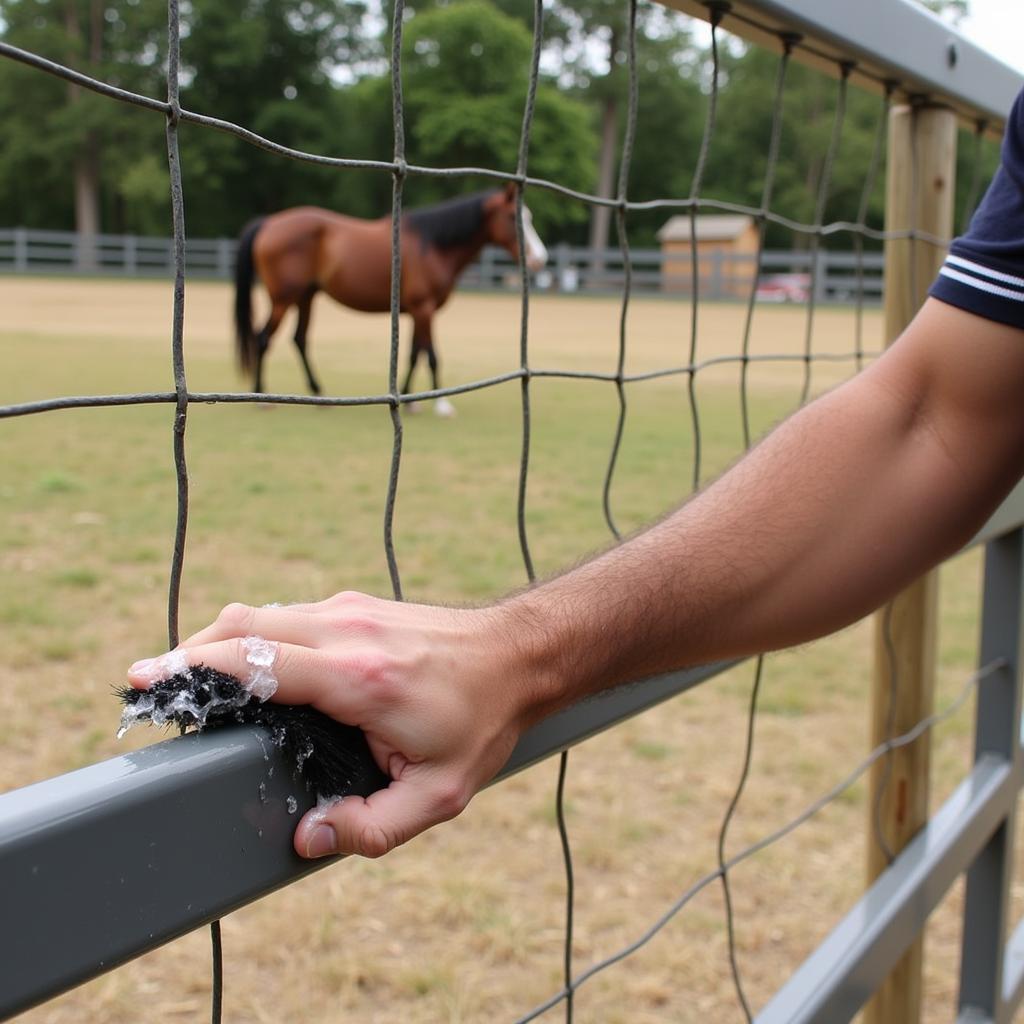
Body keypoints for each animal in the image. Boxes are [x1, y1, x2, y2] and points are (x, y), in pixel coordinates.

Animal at [234, 184, 548, 411]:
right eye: (513, 218)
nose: (539, 259)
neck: (432, 246)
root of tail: (269, 222)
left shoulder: (417, 312)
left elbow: (414, 353)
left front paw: (408, 397)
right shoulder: (424, 309)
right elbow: (431, 355)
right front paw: (441, 403)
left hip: (306, 297)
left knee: (299, 340)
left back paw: (318, 393)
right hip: (283, 300)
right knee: (263, 339)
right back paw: (261, 396)